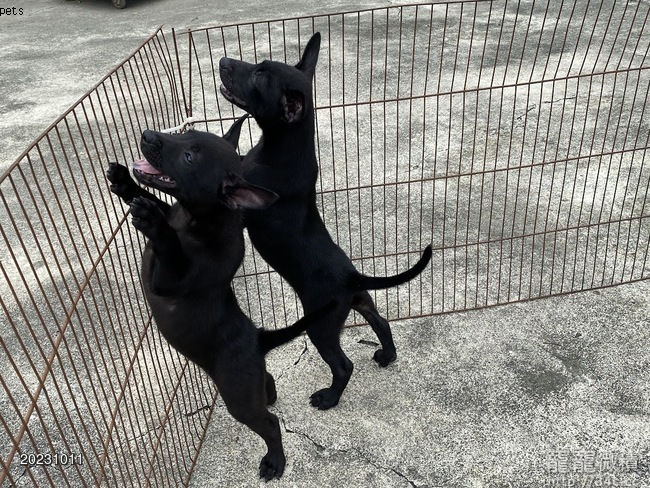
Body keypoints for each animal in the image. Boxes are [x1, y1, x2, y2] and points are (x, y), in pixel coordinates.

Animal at [106, 117, 336, 480]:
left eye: (188, 157)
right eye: (186, 132)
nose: (147, 134)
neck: (197, 218)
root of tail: (257, 339)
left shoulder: (168, 282)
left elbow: (168, 245)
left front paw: (153, 222)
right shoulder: (173, 211)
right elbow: (153, 198)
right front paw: (124, 182)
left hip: (238, 398)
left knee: (270, 425)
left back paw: (275, 460)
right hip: (246, 384)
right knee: (266, 385)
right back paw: (270, 393)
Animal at [219, 33, 432, 410]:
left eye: (259, 76)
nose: (223, 62)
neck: (282, 149)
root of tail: (351, 276)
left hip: (321, 326)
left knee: (343, 364)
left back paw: (329, 397)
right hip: (360, 301)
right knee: (381, 322)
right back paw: (386, 355)